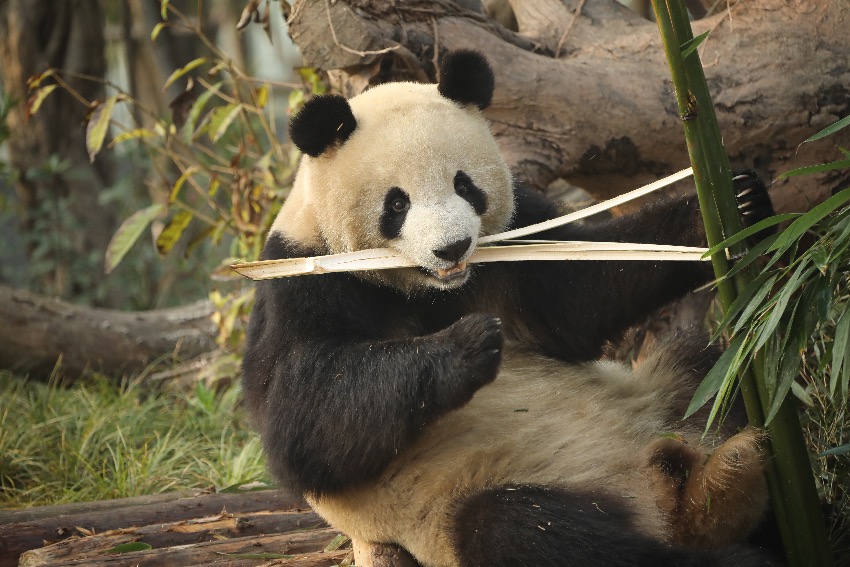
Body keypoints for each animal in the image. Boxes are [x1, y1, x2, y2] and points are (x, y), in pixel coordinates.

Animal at [240, 51, 776, 564]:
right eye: (396, 204)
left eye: (464, 185)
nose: (453, 248)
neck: (431, 290)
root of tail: (662, 503)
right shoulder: (304, 277)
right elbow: (301, 420)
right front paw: (468, 344)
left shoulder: (510, 243)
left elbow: (576, 296)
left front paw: (732, 207)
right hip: (482, 500)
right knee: (528, 533)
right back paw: (730, 546)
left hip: (665, 398)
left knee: (706, 373)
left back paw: (734, 481)